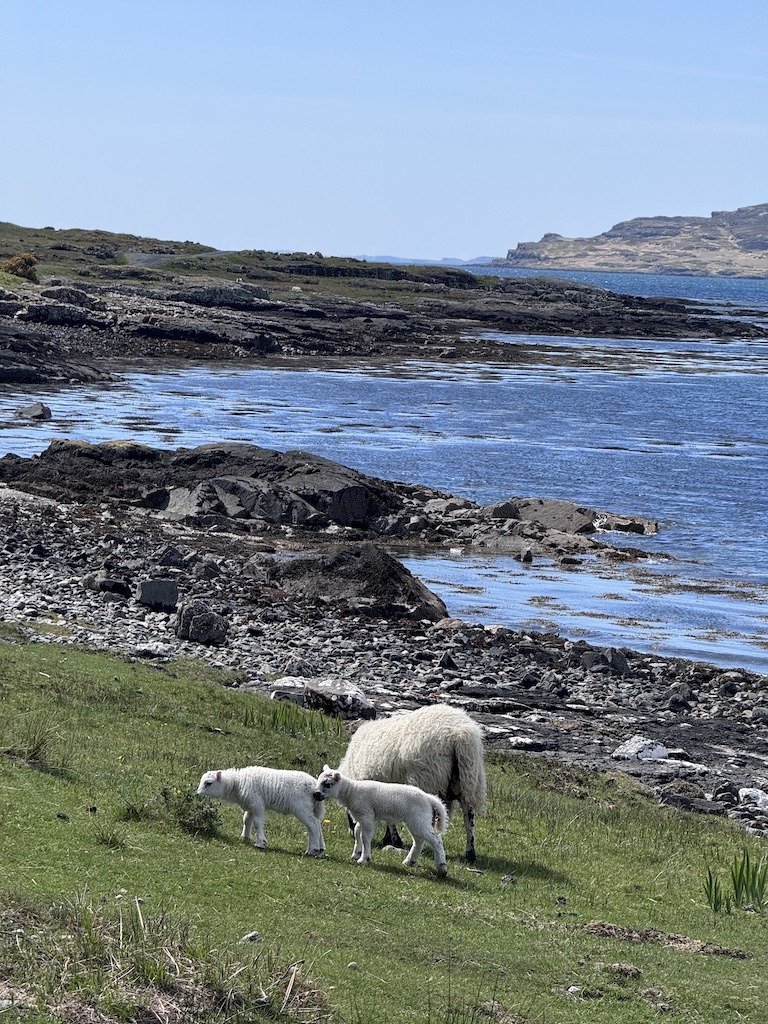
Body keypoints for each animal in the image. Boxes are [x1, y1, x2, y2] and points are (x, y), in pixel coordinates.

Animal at [196, 767, 325, 856]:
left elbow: (257, 823)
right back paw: (320, 849)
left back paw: (312, 849)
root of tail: (314, 785)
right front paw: (245, 837)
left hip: (301, 807)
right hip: (314, 808)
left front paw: (261, 843)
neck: (237, 783)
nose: (197, 794)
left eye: (208, 783)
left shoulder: (257, 803)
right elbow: (246, 820)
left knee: (313, 825)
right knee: (317, 824)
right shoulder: (250, 805)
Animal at [315, 765, 448, 875]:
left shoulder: (366, 815)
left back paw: (442, 868)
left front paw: (364, 858)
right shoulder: (362, 816)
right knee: (419, 840)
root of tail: (428, 797)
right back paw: (410, 861)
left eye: (327, 784)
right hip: (416, 820)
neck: (351, 791)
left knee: (435, 839)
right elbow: (358, 833)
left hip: (419, 819)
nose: (316, 794)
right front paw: (356, 853)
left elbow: (365, 837)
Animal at [339, 704, 486, 863]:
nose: (351, 834)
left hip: (429, 780)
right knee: (469, 819)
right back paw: (470, 854)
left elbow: (390, 821)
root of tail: (460, 733)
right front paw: (389, 839)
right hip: (468, 780)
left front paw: (394, 840)